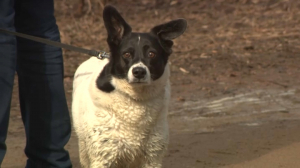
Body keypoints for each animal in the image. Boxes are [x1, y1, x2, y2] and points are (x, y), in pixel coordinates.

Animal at [72, 5, 186, 168]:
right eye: (126, 54)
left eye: (152, 54)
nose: (139, 72)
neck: (135, 100)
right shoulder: (103, 157)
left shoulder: (152, 158)